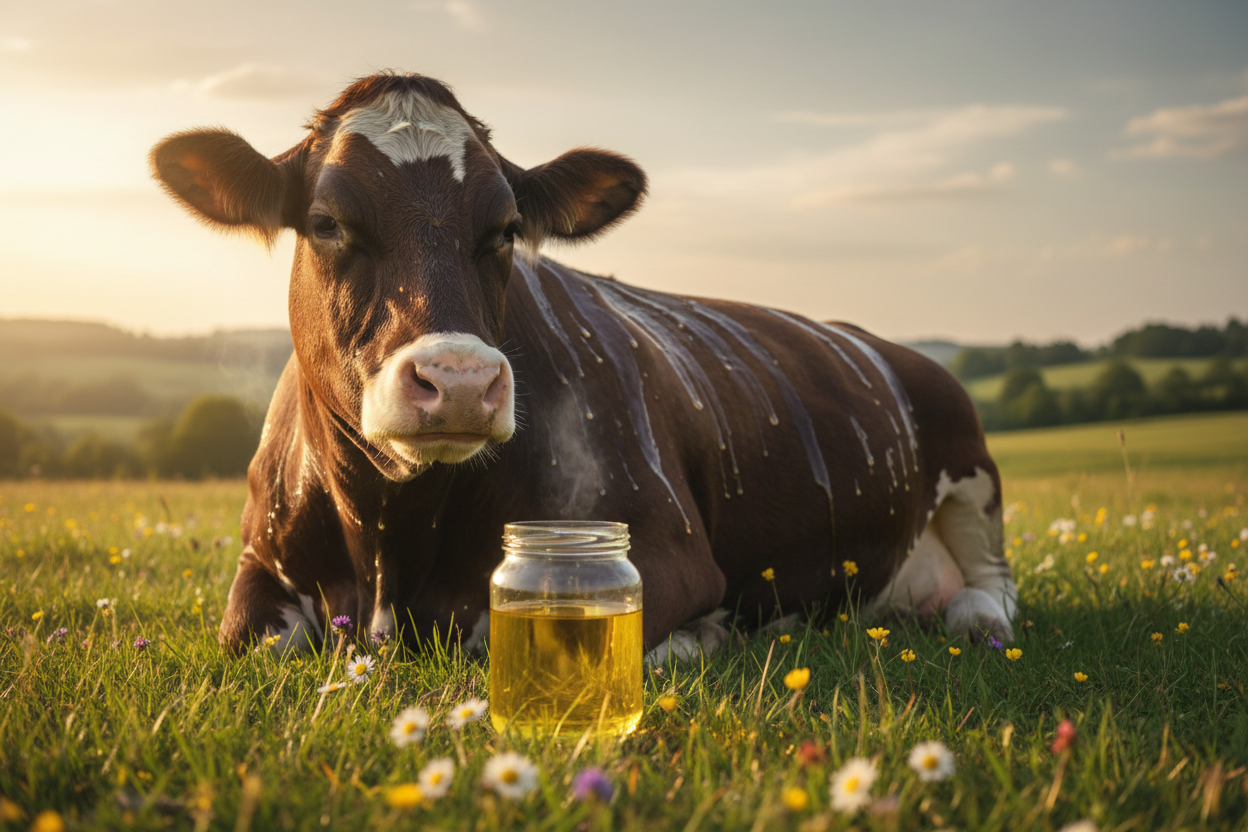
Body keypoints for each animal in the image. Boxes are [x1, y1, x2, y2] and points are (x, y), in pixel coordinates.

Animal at [150, 71, 1017, 659]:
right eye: (327, 221)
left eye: (505, 229)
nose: (459, 380)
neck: (390, 546)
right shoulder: (257, 568)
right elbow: (247, 635)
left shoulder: (665, 551)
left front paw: (705, 637)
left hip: (971, 466)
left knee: (992, 587)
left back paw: (974, 617)